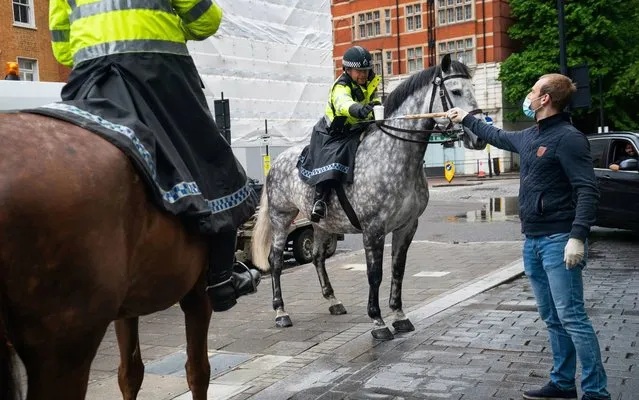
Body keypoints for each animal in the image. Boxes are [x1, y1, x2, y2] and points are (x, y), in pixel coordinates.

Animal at [252, 54, 488, 340]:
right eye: (455, 91)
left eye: (473, 89)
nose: (478, 137)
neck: (394, 155)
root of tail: (276, 162)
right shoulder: (373, 229)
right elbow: (374, 274)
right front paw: (378, 321)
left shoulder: (406, 226)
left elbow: (398, 269)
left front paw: (399, 315)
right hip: (281, 218)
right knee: (275, 261)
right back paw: (280, 312)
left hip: (320, 222)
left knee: (317, 257)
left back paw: (333, 301)